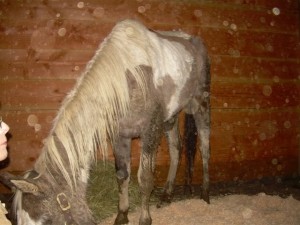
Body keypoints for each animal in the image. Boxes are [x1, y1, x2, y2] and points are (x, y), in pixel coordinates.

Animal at [0, 19, 211, 225]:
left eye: (47, 221)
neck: (128, 80)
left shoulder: (149, 132)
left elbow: (145, 178)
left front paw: (144, 218)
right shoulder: (121, 136)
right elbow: (122, 175)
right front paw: (122, 215)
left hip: (200, 105)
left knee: (204, 146)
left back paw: (205, 194)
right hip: (170, 118)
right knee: (176, 148)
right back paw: (167, 195)